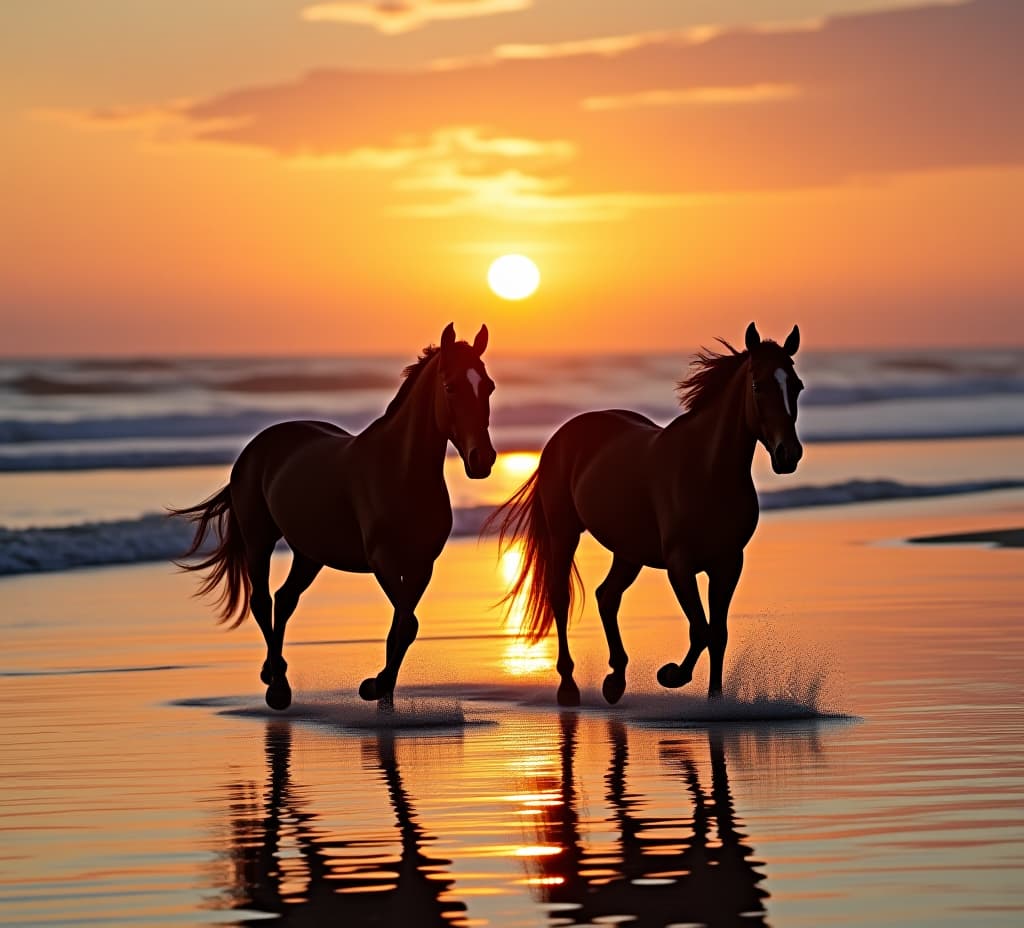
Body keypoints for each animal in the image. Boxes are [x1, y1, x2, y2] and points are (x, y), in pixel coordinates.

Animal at [171, 321, 495, 704]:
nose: (483, 459)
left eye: (488, 386)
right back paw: (277, 689)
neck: (399, 472)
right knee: (262, 601)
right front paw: (376, 685)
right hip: (258, 540)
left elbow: (402, 626)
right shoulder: (384, 561)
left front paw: (382, 689)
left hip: (310, 554)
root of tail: (256, 448)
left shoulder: (421, 564)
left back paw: (275, 672)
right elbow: (406, 623)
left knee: (285, 599)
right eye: (450, 386)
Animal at [487, 321, 798, 704]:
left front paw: (715, 700)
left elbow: (718, 634)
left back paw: (615, 680)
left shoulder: (727, 564)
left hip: (628, 551)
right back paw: (569, 686)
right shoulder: (680, 565)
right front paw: (672, 675)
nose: (789, 454)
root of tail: (561, 436)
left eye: (796, 386)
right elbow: (701, 630)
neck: (706, 470)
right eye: (758, 385)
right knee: (561, 597)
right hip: (564, 534)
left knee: (607, 596)